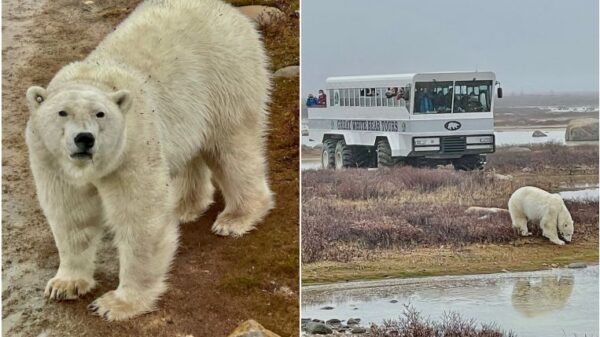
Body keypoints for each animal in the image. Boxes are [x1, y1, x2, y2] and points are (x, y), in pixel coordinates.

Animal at [24, 0, 274, 320]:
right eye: (62, 112)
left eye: (100, 114)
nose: (84, 139)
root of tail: (231, 11)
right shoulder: (51, 161)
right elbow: (71, 215)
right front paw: (64, 285)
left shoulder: (132, 149)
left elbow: (140, 219)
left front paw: (116, 303)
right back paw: (184, 206)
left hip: (226, 79)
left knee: (233, 149)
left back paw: (235, 218)